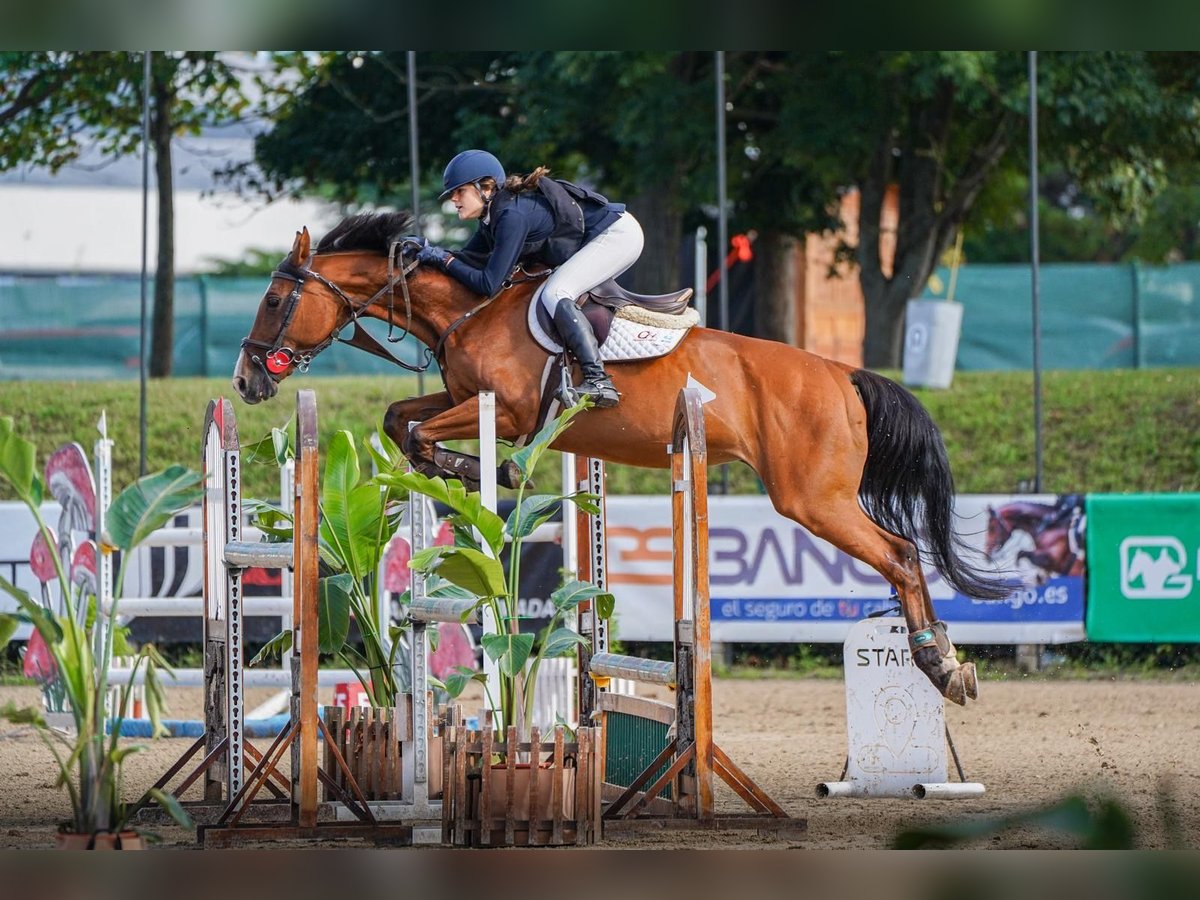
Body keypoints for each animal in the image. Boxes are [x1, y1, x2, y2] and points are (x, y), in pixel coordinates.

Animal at [229, 211, 1008, 705]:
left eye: (271, 299)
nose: (245, 382)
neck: (467, 309)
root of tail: (840, 373)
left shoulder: (507, 413)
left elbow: (428, 432)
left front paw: (488, 472)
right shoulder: (460, 397)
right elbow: (400, 420)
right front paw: (454, 472)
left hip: (813, 499)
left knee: (901, 554)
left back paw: (942, 665)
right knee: (904, 552)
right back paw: (945, 661)